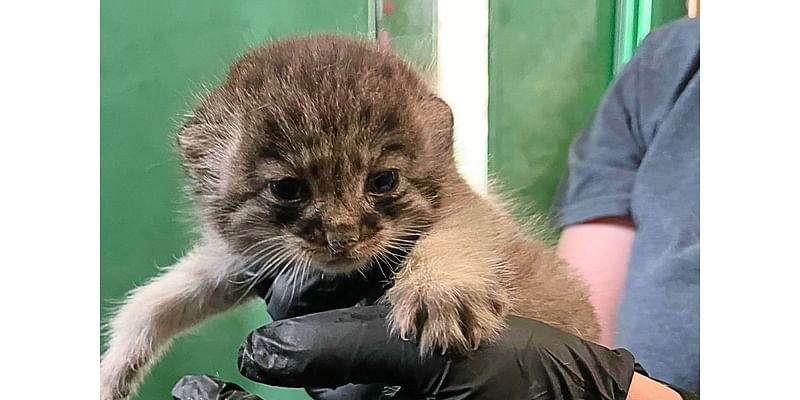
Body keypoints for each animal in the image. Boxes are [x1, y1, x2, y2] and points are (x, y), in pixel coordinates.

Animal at [98, 35, 600, 400]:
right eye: (288, 188)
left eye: (383, 180)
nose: (342, 234)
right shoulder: (242, 258)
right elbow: (160, 297)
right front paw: (113, 368)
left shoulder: (467, 208)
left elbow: (457, 233)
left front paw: (440, 292)